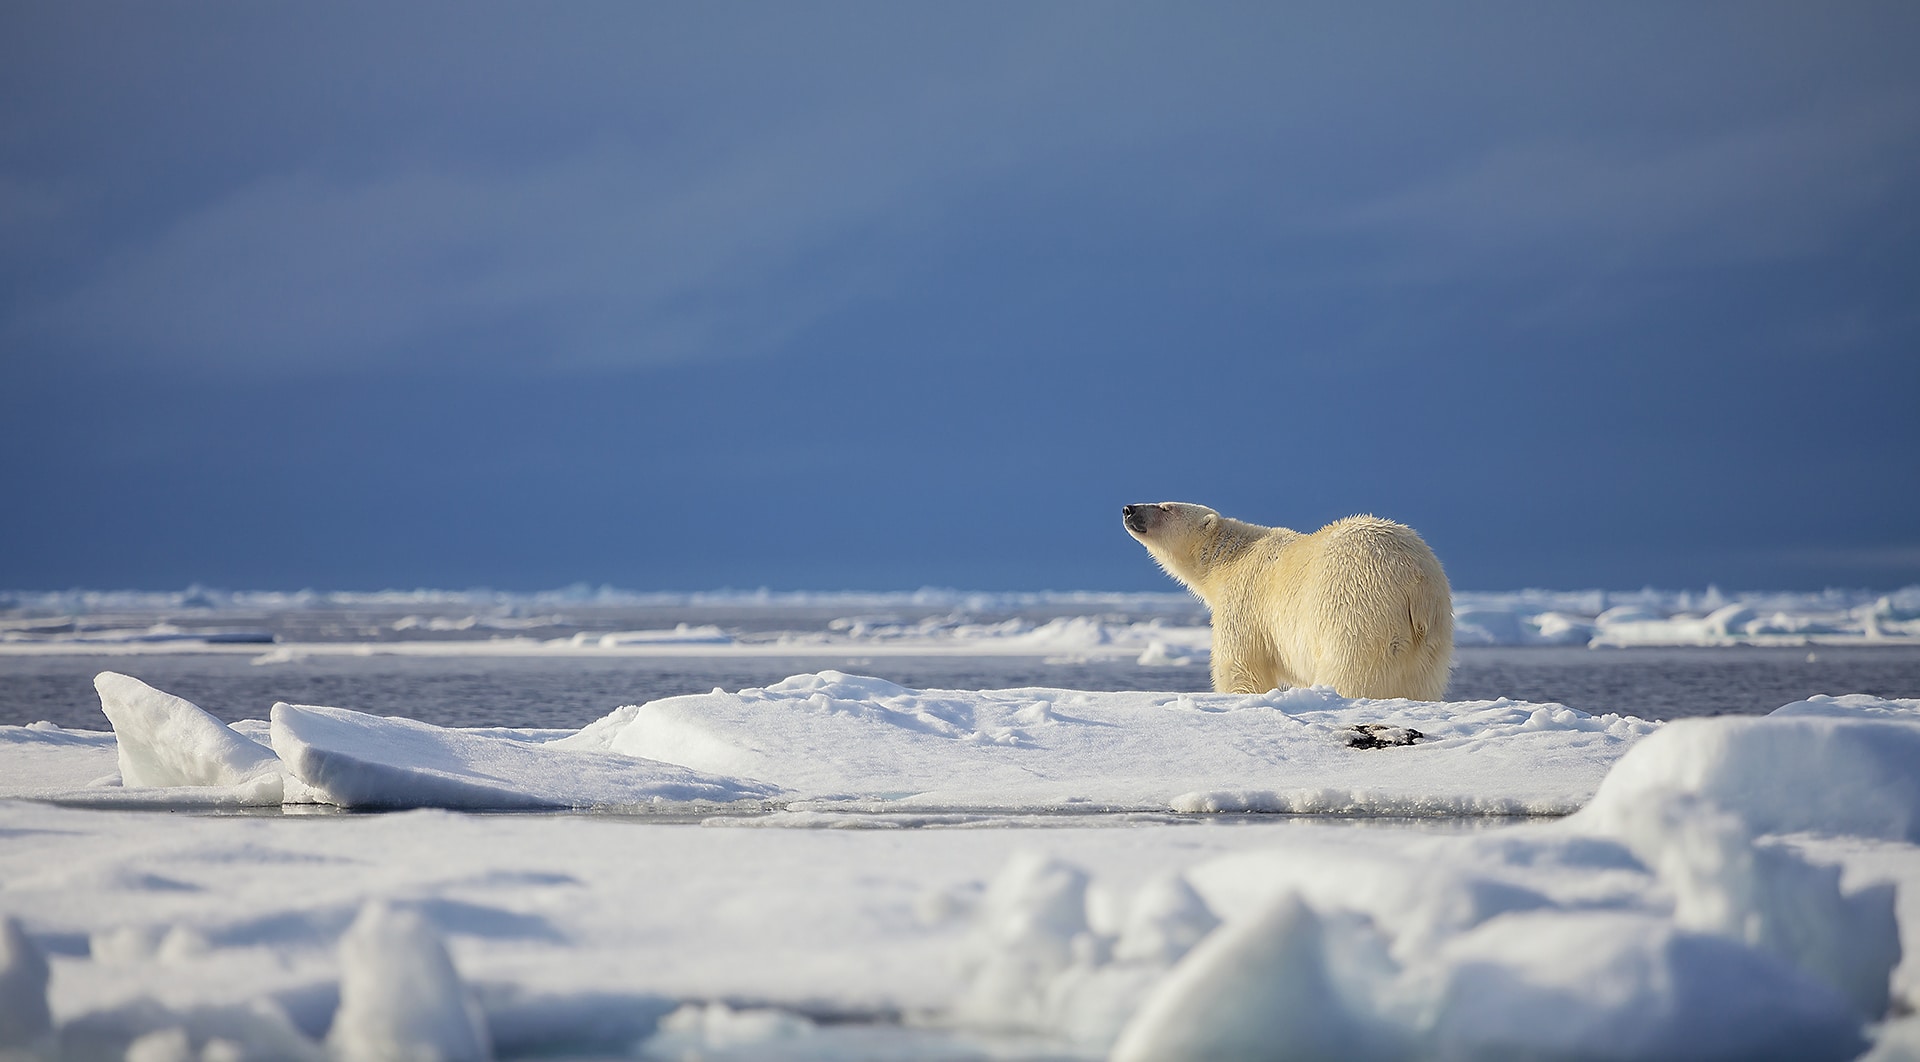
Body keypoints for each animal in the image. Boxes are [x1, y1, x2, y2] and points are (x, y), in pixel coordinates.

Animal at [1121, 499, 1443, 699]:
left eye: (1166, 507)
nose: (1128, 508)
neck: (1231, 558)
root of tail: (1417, 579)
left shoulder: (1244, 602)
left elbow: (1239, 664)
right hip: (1429, 638)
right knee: (1419, 683)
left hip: (1357, 606)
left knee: (1350, 669)